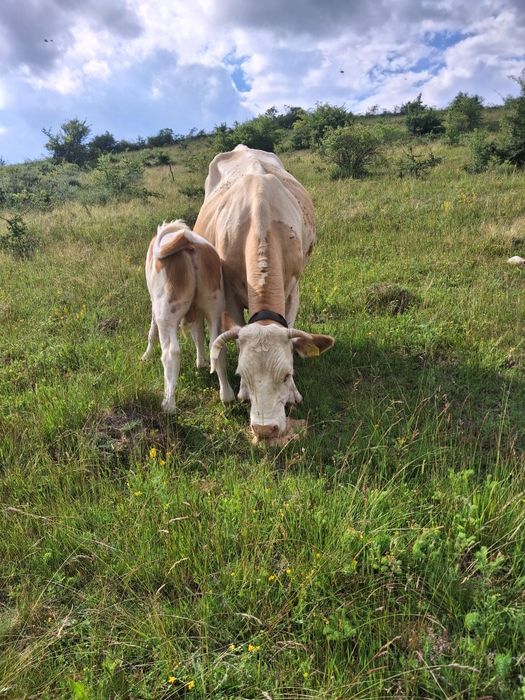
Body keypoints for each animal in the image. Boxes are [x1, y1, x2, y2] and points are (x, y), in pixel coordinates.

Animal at [142, 220, 235, 413]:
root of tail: (189, 243)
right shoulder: (198, 311)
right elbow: (198, 334)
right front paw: (201, 362)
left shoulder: (154, 305)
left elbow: (151, 332)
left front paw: (146, 356)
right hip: (213, 306)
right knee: (217, 344)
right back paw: (227, 395)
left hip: (166, 314)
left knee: (171, 353)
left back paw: (168, 404)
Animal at [194, 145, 334, 439]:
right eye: (241, 375)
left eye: (287, 374)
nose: (265, 428)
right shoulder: (229, 297)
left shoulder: (293, 289)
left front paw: (294, 393)